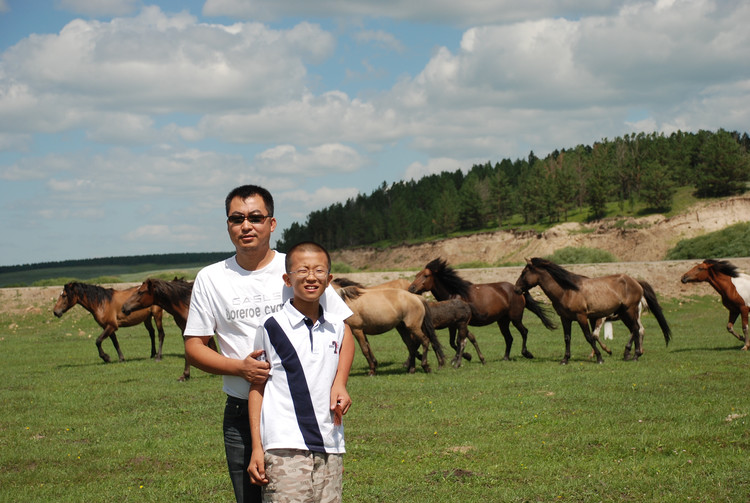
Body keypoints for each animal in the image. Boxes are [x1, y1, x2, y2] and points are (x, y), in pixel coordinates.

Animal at [406, 260, 560, 362]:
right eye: (417, 274)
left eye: (426, 276)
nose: (411, 288)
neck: (454, 293)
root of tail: (518, 290)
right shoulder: (456, 324)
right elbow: (459, 340)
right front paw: (468, 356)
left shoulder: (459, 324)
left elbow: (458, 340)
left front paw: (463, 357)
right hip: (502, 321)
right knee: (509, 338)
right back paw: (505, 357)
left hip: (515, 318)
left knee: (524, 332)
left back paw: (527, 353)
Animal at [516, 258, 672, 364]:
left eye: (524, 273)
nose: (516, 289)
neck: (567, 291)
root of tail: (636, 281)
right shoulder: (565, 318)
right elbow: (567, 338)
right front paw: (565, 359)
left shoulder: (582, 317)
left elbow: (589, 336)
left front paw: (599, 357)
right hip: (623, 314)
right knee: (635, 330)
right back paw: (630, 354)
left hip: (630, 311)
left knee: (636, 329)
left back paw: (635, 355)